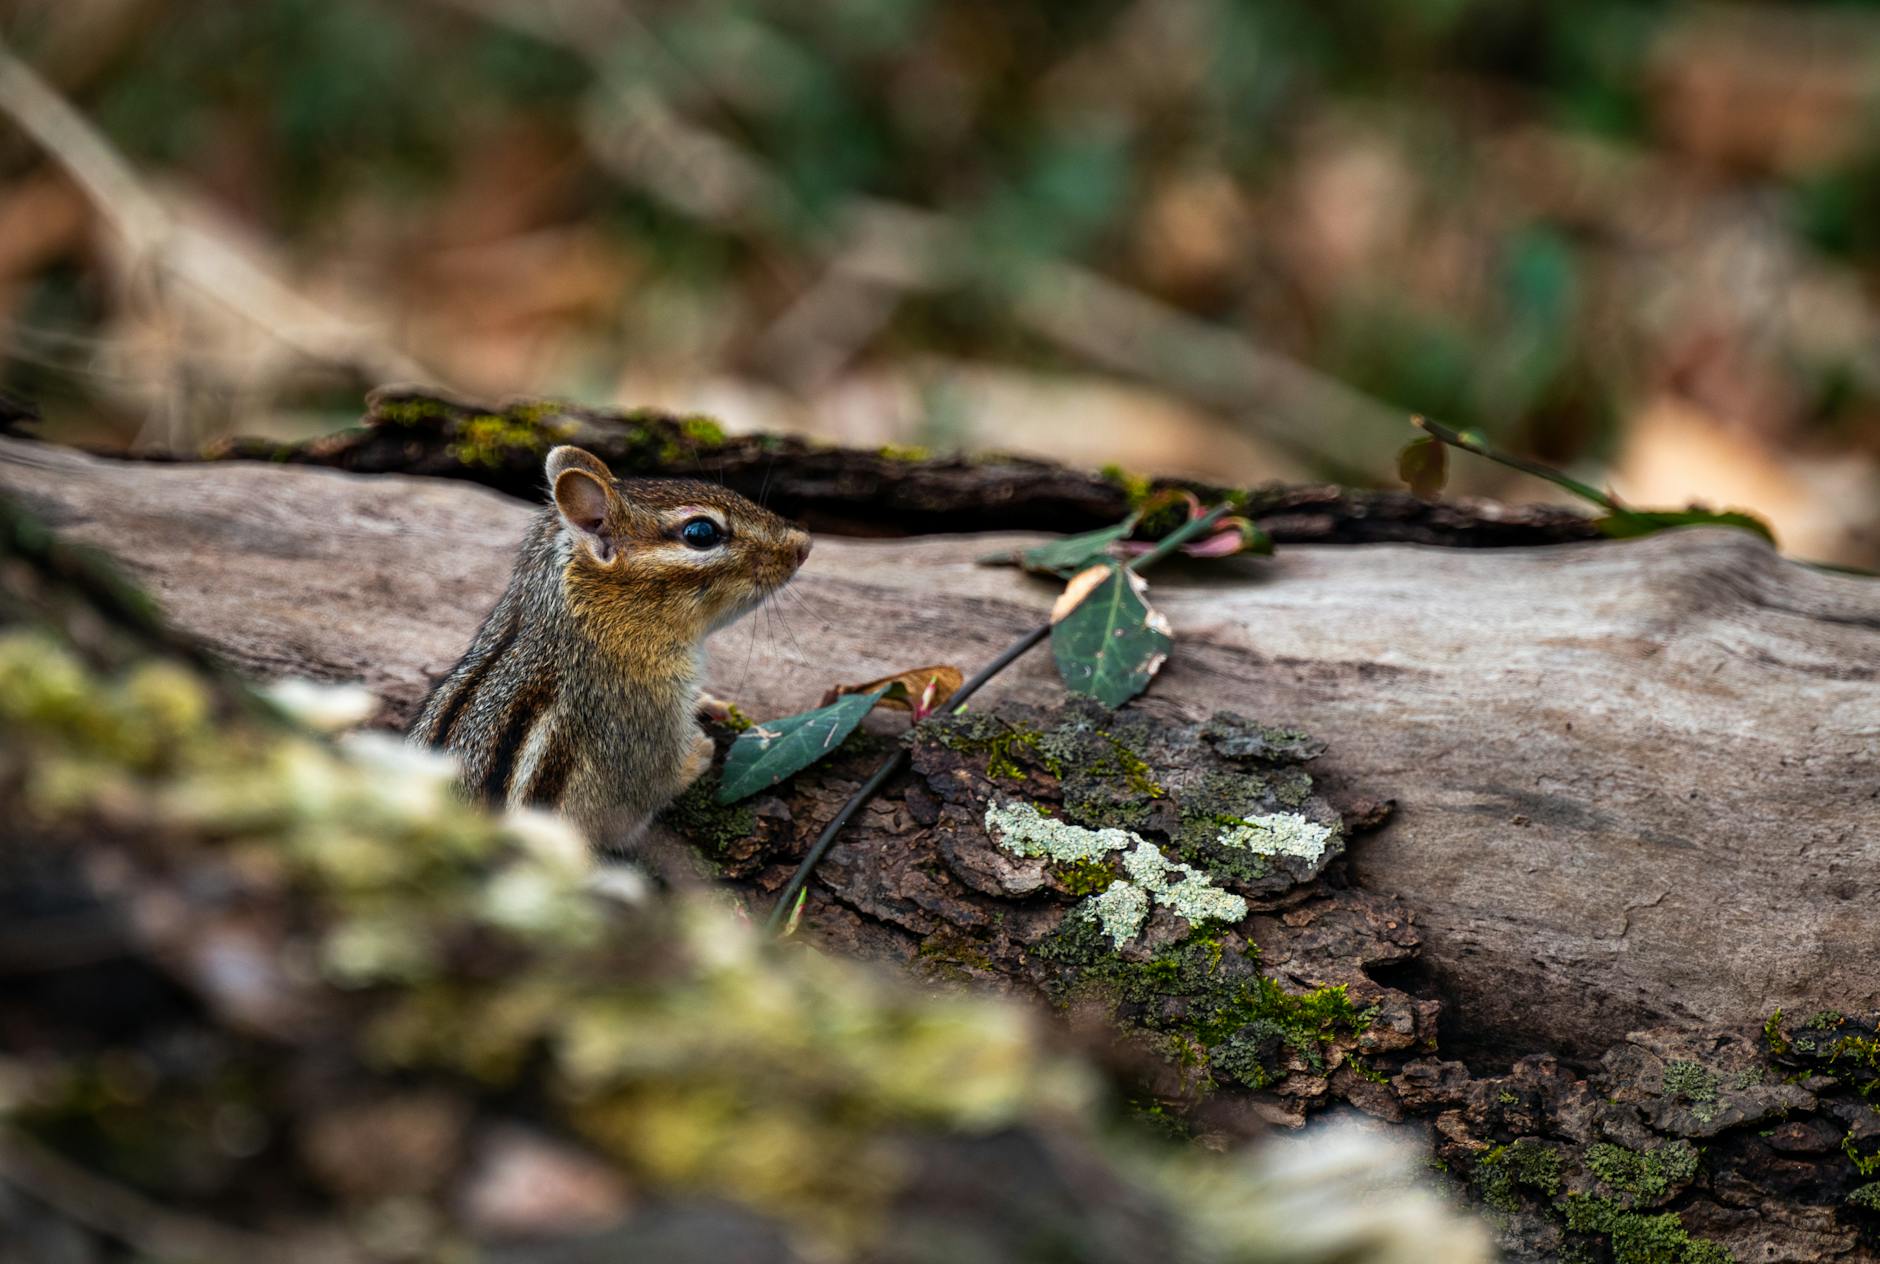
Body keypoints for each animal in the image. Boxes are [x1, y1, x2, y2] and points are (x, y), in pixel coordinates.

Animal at [408, 444, 810, 850]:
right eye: (701, 532)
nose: (804, 544)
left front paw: (712, 703)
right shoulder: (645, 722)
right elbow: (649, 792)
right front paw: (699, 752)